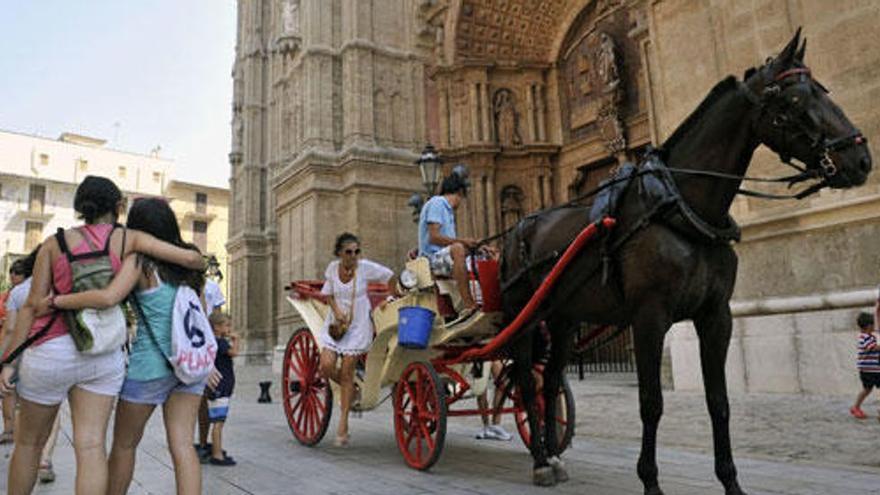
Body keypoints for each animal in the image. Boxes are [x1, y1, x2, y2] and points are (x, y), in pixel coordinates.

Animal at [498, 29, 868, 494]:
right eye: (796, 99)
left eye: (823, 89)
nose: (862, 159)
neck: (679, 207)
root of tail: (518, 228)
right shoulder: (649, 317)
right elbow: (651, 402)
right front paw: (650, 481)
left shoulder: (716, 315)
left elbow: (720, 402)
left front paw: (730, 481)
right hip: (525, 318)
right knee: (527, 383)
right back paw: (540, 460)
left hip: (564, 318)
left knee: (549, 382)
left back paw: (551, 452)